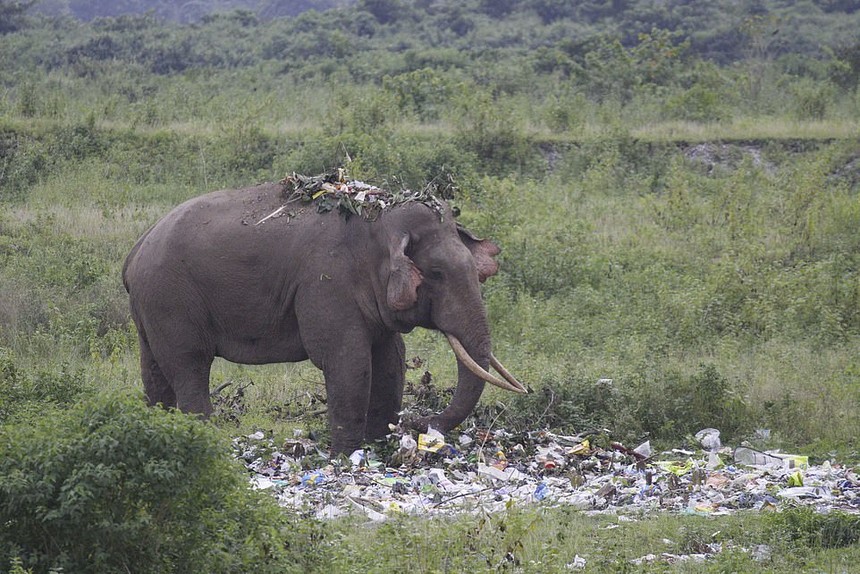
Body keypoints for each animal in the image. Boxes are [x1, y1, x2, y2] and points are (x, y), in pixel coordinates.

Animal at [121, 180, 524, 454]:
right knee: (189, 366)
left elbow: (391, 360)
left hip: (150, 307)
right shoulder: (326, 281)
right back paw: (203, 440)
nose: (415, 422)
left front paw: (377, 446)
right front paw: (348, 456)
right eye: (437, 274)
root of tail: (136, 249)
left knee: (154, 371)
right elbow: (348, 361)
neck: (377, 220)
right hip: (170, 298)